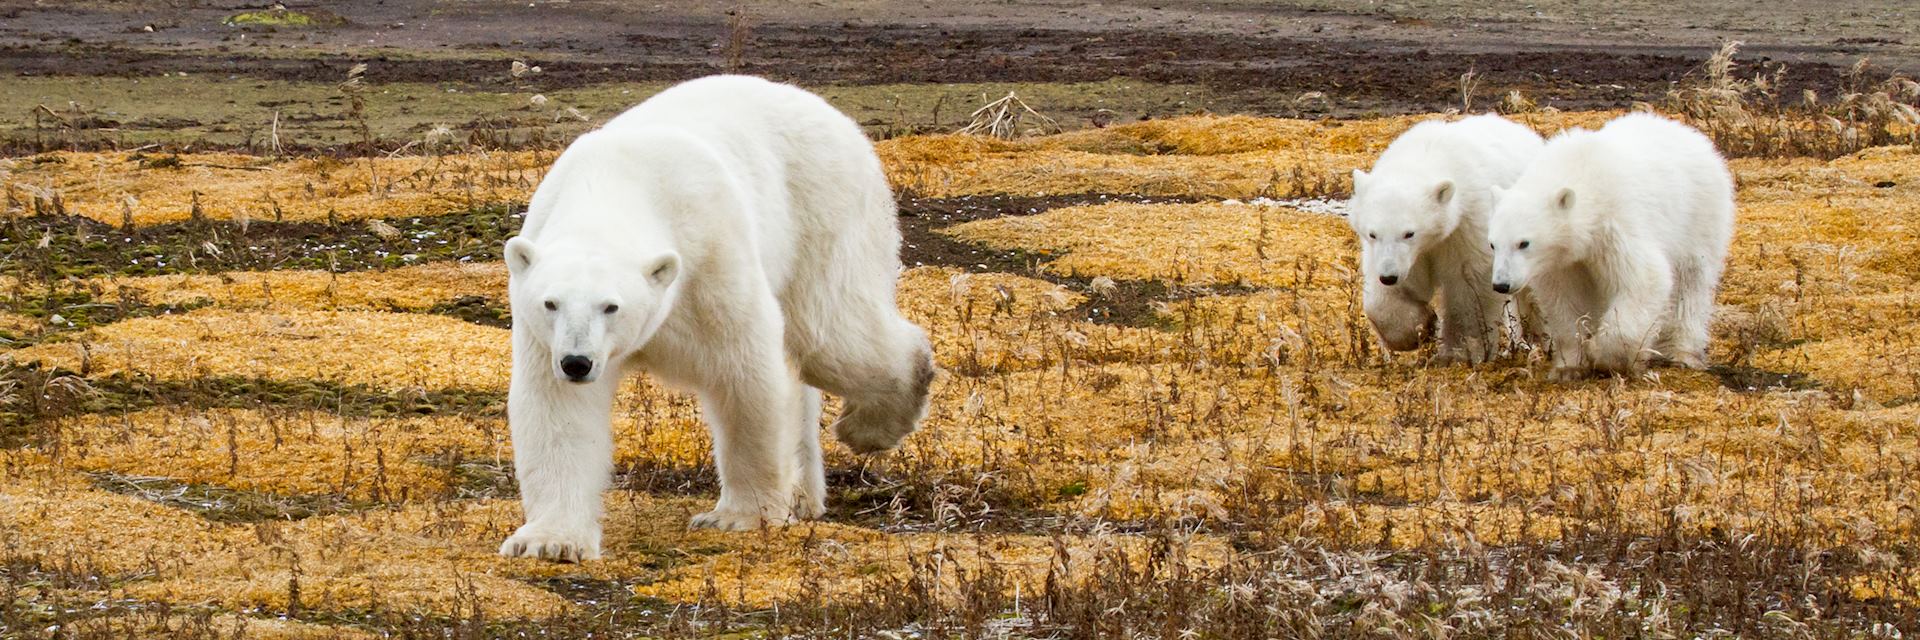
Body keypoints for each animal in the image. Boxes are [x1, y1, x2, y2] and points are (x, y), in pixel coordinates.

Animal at [499, 77, 933, 561]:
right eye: (550, 303)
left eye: (611, 306)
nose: (577, 363)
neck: (615, 183)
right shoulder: (543, 335)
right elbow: (558, 411)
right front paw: (550, 541)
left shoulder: (709, 258)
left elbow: (744, 377)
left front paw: (737, 516)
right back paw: (804, 495)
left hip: (822, 213)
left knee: (830, 335)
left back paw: (873, 423)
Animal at [1482, 111, 1743, 376]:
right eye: (1493, 244)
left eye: (1523, 243)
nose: (1501, 284)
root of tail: (1690, 134)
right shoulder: (1564, 259)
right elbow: (1563, 297)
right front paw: (1568, 366)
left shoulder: (1615, 223)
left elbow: (1643, 279)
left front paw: (1605, 355)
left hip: (1698, 216)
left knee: (1691, 281)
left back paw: (1682, 352)